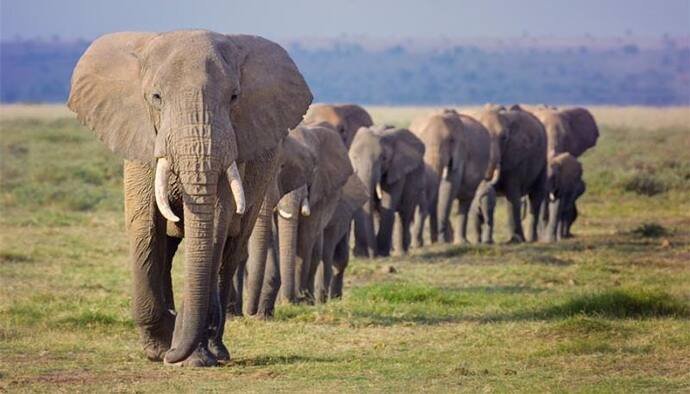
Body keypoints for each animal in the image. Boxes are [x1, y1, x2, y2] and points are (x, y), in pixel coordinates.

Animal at [66, 30, 310, 366]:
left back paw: (216, 349)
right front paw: (159, 349)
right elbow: (144, 225)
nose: (171, 354)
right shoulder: (141, 138)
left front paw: (187, 356)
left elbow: (215, 225)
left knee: (230, 253)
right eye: (156, 97)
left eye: (234, 97)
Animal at [350, 124, 424, 258]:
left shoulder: (397, 168)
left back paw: (401, 252)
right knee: (379, 213)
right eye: (354, 158)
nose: (371, 256)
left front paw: (382, 253)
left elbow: (388, 202)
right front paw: (361, 255)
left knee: (404, 213)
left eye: (383, 158)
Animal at [406, 110, 498, 246]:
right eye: (422, 143)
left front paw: (442, 241)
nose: (416, 244)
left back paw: (461, 242)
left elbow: (450, 184)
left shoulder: (460, 152)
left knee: (465, 200)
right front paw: (435, 242)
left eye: (451, 141)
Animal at [470, 104, 544, 243]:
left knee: (536, 197)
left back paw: (531, 239)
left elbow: (512, 194)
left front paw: (515, 241)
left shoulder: (516, 155)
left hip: (543, 161)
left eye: (504, 138)